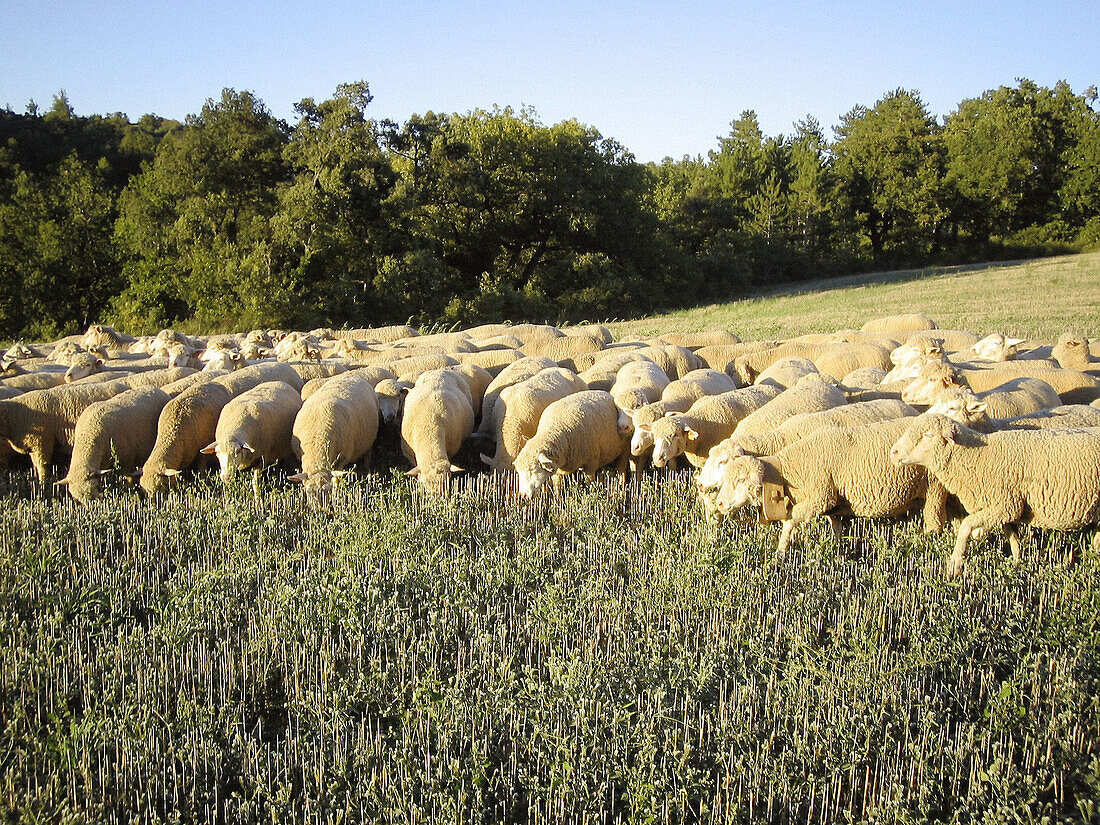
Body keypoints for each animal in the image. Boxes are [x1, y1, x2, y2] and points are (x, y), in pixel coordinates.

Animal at [292, 369, 382, 497]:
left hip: (369, 440)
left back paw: (370, 479)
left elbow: (336, 480)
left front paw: (337, 495)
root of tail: (352, 375)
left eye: (327, 491)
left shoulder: (342, 457)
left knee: (368, 458)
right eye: (308, 492)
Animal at [712, 420, 946, 556]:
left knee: (934, 523)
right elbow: (836, 527)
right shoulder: (833, 502)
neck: (791, 469)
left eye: (741, 480)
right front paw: (837, 550)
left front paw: (780, 553)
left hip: (934, 488)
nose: (720, 503)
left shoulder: (820, 496)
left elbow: (790, 521)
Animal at [888, 411, 1100, 576]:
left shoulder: (1005, 505)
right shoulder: (1009, 506)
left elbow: (966, 525)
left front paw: (955, 565)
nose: (894, 452)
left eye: (928, 434)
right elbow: (1012, 535)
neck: (975, 456)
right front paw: (1017, 562)